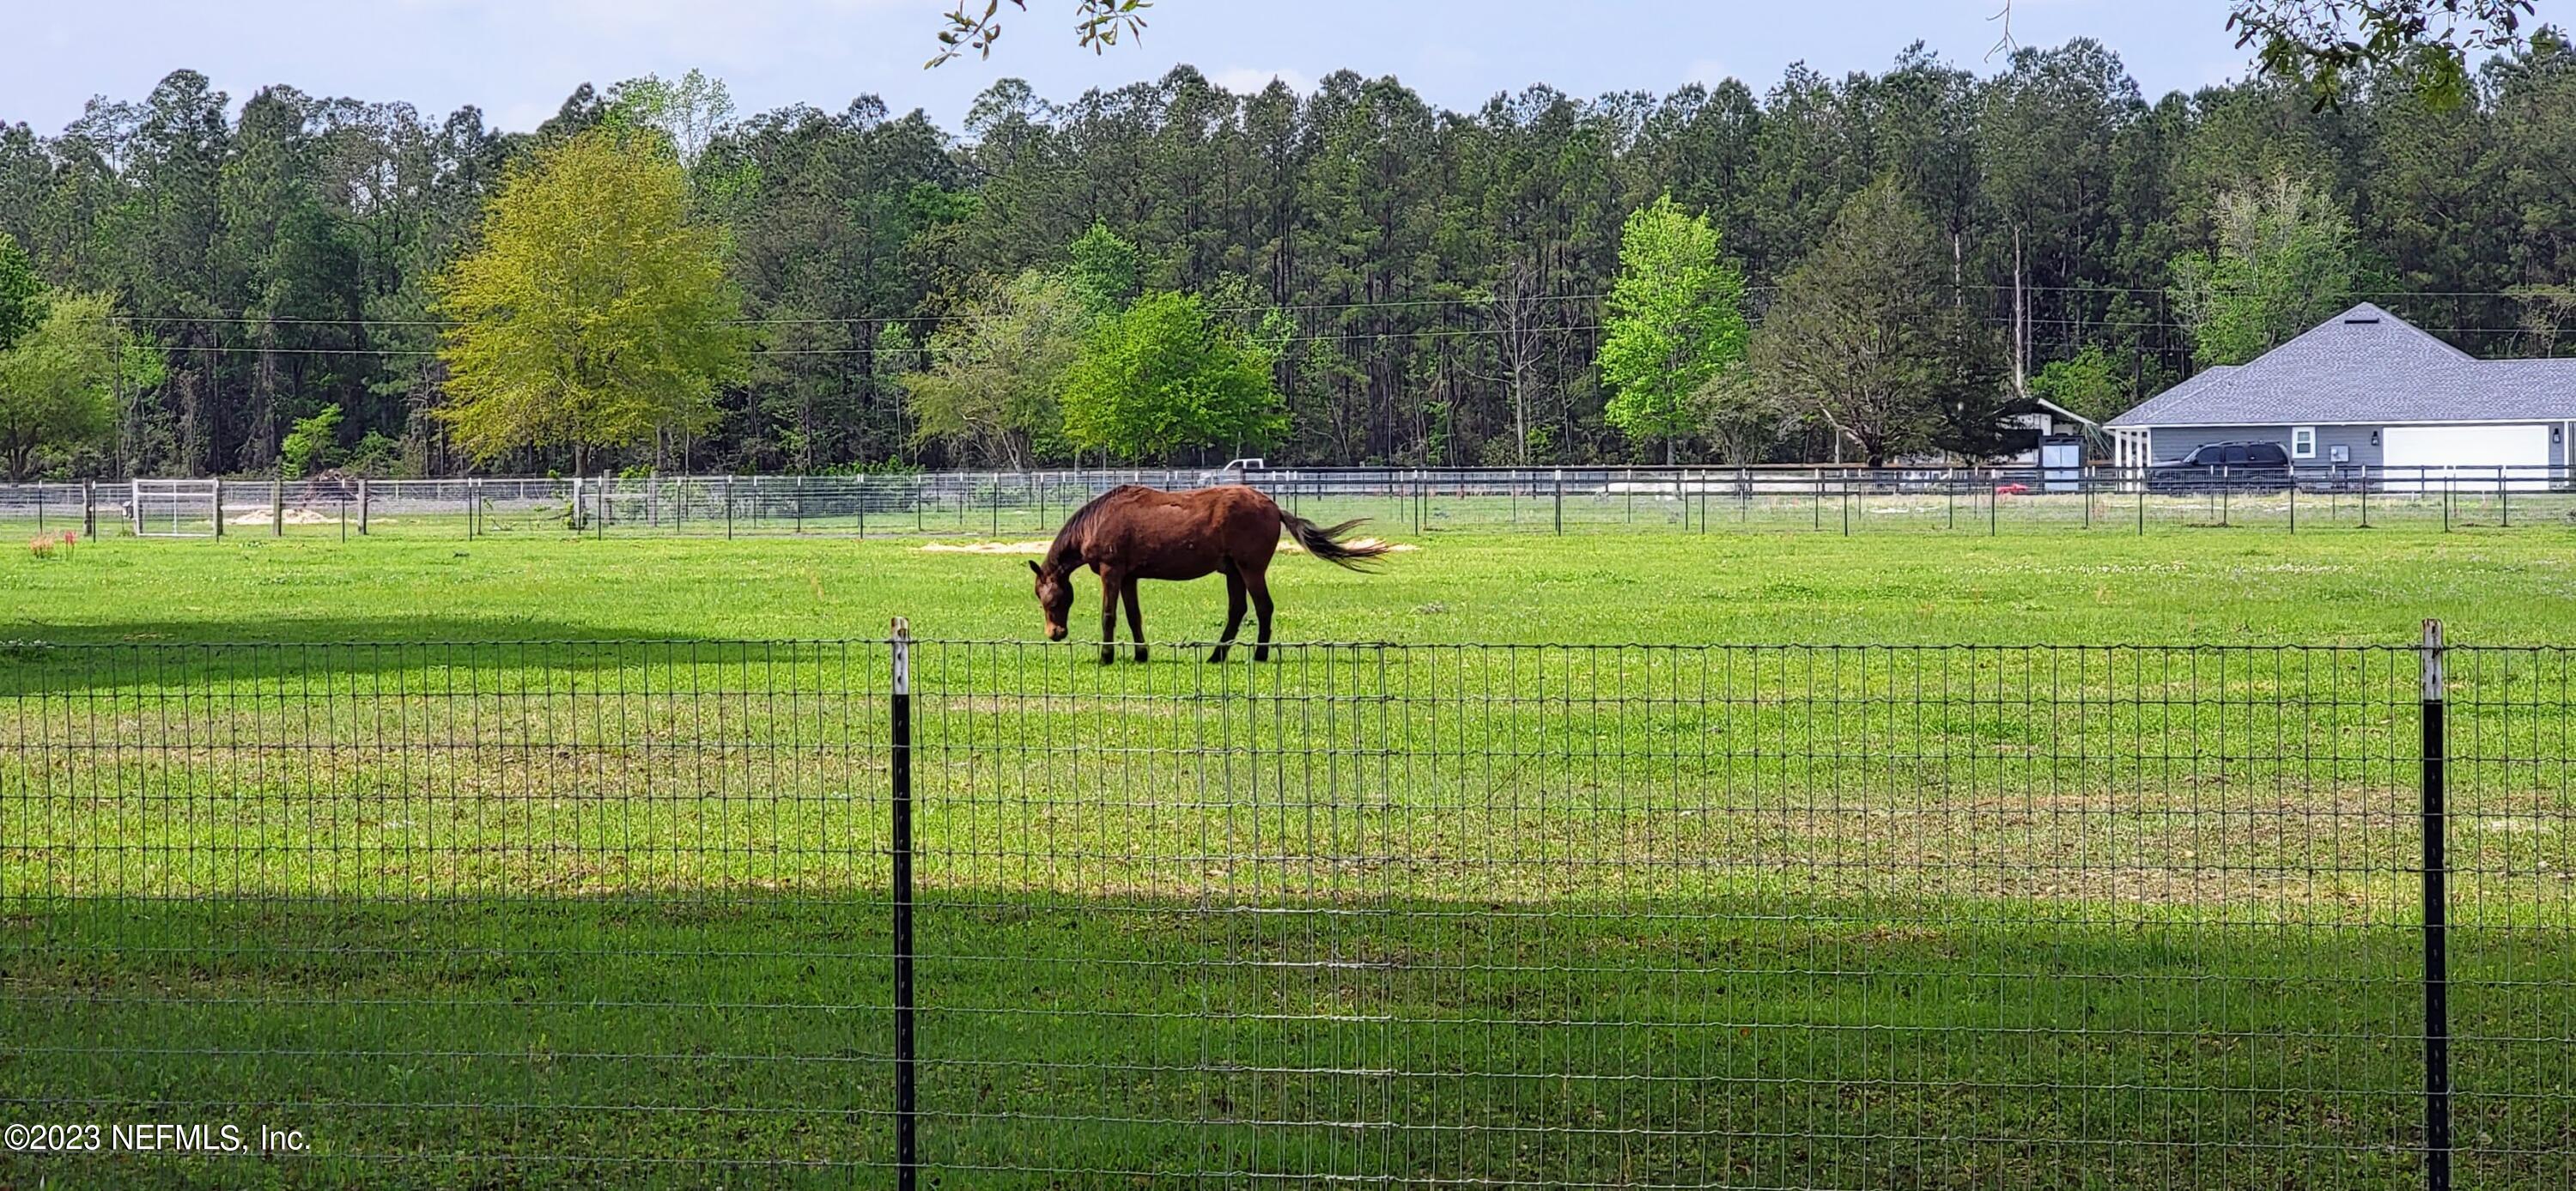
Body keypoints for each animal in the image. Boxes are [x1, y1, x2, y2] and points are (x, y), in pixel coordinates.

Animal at [1029, 484, 1392, 664]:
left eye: (1051, 599)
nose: (1055, 633)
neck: (1099, 519)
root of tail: (1274, 507)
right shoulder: (1130, 577)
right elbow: (1134, 617)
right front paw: (1141, 654)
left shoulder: (1112, 572)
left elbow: (1109, 615)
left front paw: (1106, 656)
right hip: (1233, 571)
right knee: (1238, 611)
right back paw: (1217, 655)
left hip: (1250, 569)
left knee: (1263, 608)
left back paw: (1259, 654)